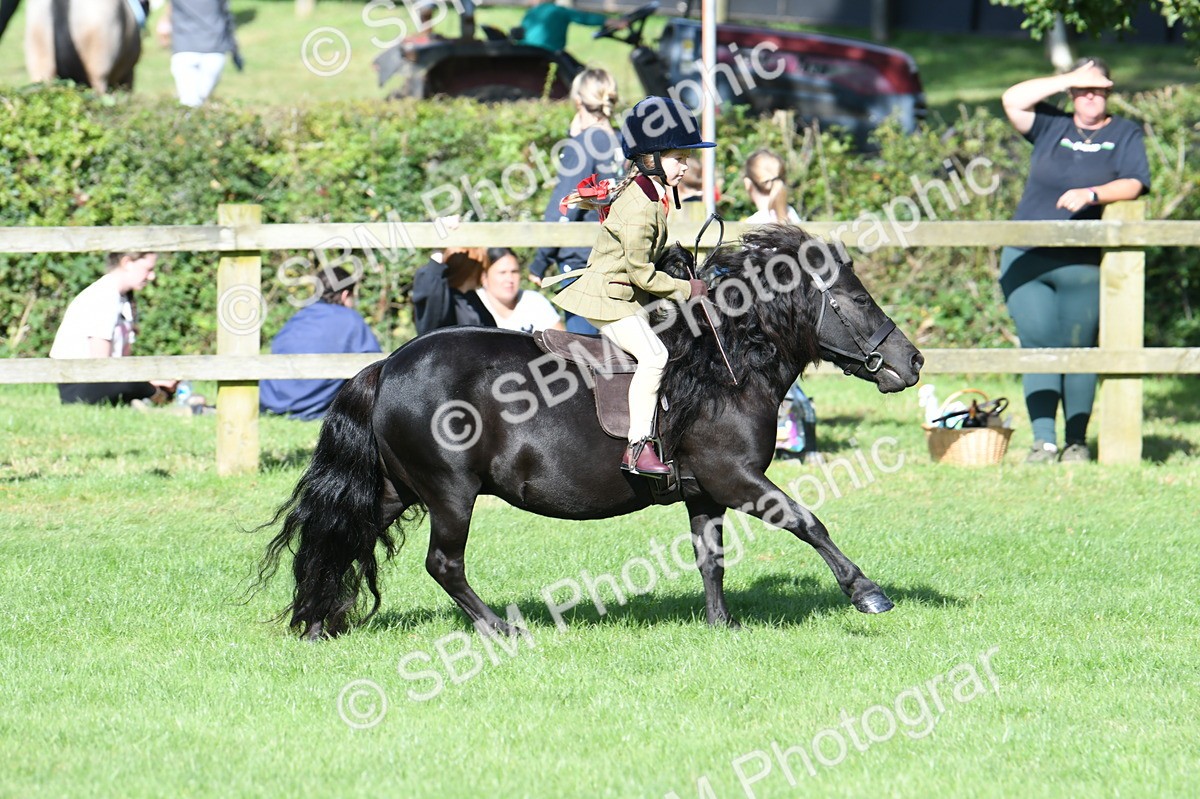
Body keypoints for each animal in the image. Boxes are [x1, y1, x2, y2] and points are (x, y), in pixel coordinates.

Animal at [258, 223, 925, 640]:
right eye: (855, 300)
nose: (913, 362)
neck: (721, 364)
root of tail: (389, 365)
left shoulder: (707, 492)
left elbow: (710, 559)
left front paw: (722, 625)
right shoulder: (736, 479)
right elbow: (808, 522)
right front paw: (867, 592)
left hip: (398, 490)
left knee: (340, 535)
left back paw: (316, 622)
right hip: (449, 493)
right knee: (443, 564)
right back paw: (500, 627)